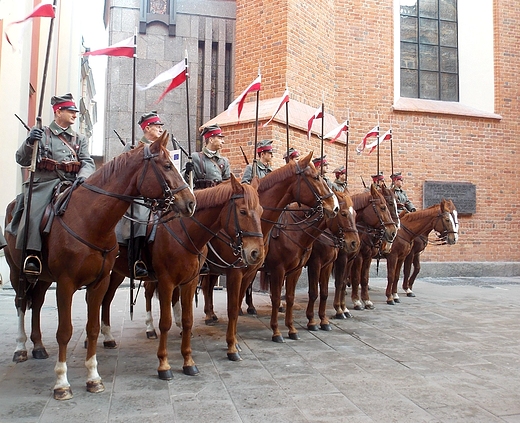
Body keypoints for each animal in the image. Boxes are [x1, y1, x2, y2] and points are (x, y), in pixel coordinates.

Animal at [3, 130, 195, 400]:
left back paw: (38, 346)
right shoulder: (65, 284)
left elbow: (92, 327)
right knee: (21, 303)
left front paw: (93, 377)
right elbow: (64, 331)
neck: (90, 219)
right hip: (17, 270)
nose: (191, 203)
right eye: (167, 165)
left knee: (38, 303)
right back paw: (21, 347)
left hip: (45, 277)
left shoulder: (99, 282)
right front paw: (62, 382)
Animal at [100, 174, 264, 380]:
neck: (184, 233)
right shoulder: (166, 282)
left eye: (261, 210)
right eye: (242, 211)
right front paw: (164, 365)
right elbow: (165, 322)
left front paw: (188, 362)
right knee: (105, 300)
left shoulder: (190, 282)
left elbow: (188, 320)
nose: (256, 253)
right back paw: (109, 337)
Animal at [198, 154, 338, 362]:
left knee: (208, 287)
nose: (334, 206)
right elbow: (266, 299)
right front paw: (275, 332)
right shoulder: (244, 271)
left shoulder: (255, 271)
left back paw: (212, 314)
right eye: (315, 177)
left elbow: (246, 304)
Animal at [262, 189, 360, 342]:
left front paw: (322, 321)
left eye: (355, 214)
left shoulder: (319, 267)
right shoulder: (304, 266)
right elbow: (311, 293)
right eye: (343, 213)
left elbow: (319, 293)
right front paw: (311, 322)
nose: (355, 243)